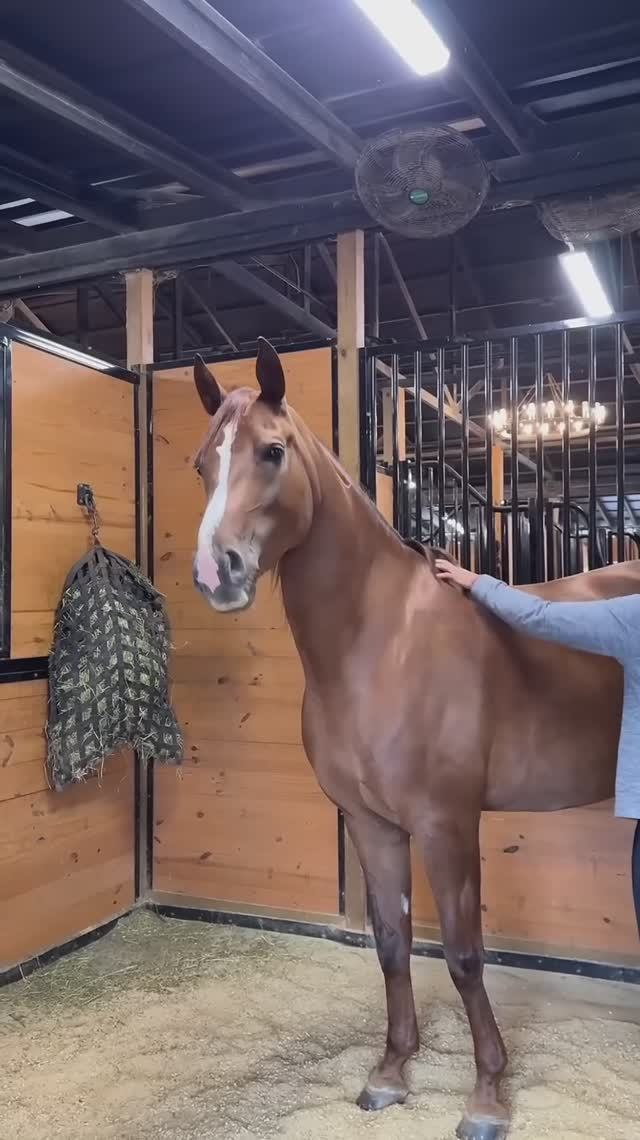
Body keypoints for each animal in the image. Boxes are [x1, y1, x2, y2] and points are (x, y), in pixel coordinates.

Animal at [190, 337, 640, 1140]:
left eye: (272, 451)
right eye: (200, 464)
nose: (217, 570)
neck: (380, 644)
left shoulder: (446, 822)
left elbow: (462, 953)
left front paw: (487, 1096)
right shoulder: (372, 823)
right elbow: (394, 942)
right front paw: (391, 1073)